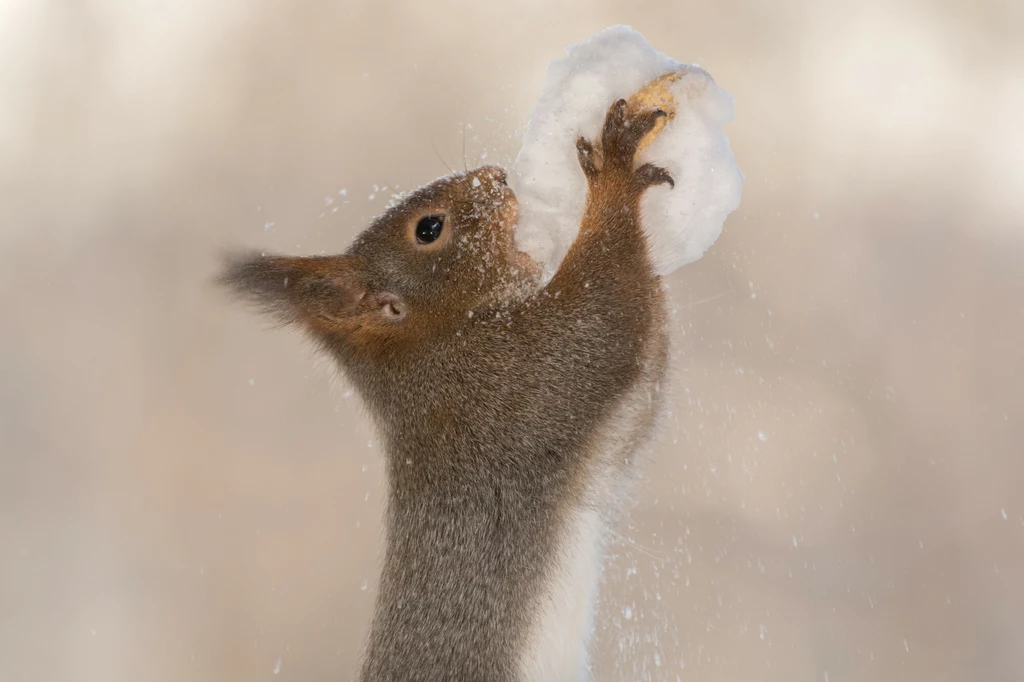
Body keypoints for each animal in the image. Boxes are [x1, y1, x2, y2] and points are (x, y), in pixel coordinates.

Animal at [220, 99, 675, 679]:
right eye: (429, 228)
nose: (497, 175)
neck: (432, 348)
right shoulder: (518, 381)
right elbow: (607, 310)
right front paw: (613, 174)